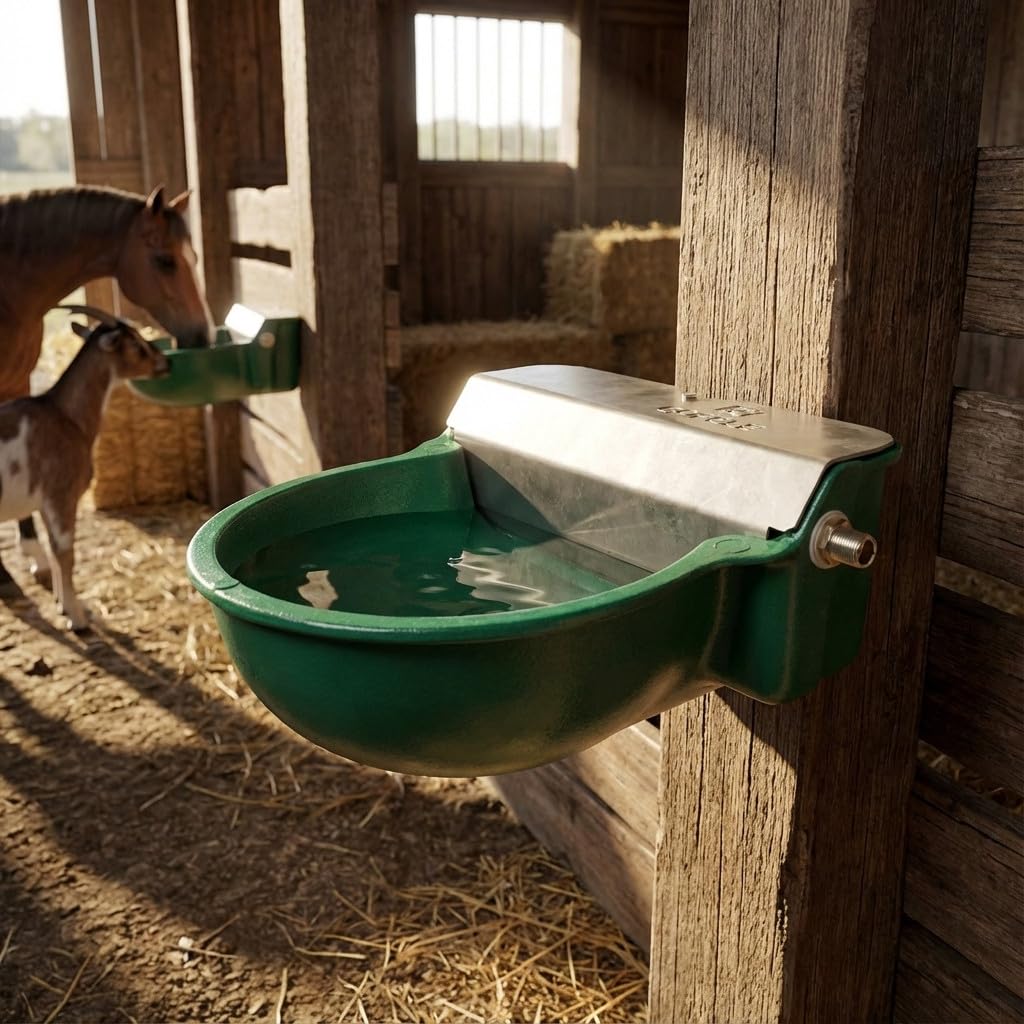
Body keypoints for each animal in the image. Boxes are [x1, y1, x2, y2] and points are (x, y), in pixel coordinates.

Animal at [0, 306, 170, 630]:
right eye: (135, 343)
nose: (165, 363)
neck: (66, 416)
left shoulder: (46, 504)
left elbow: (56, 552)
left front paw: (63, 605)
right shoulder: (60, 496)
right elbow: (66, 554)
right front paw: (77, 618)